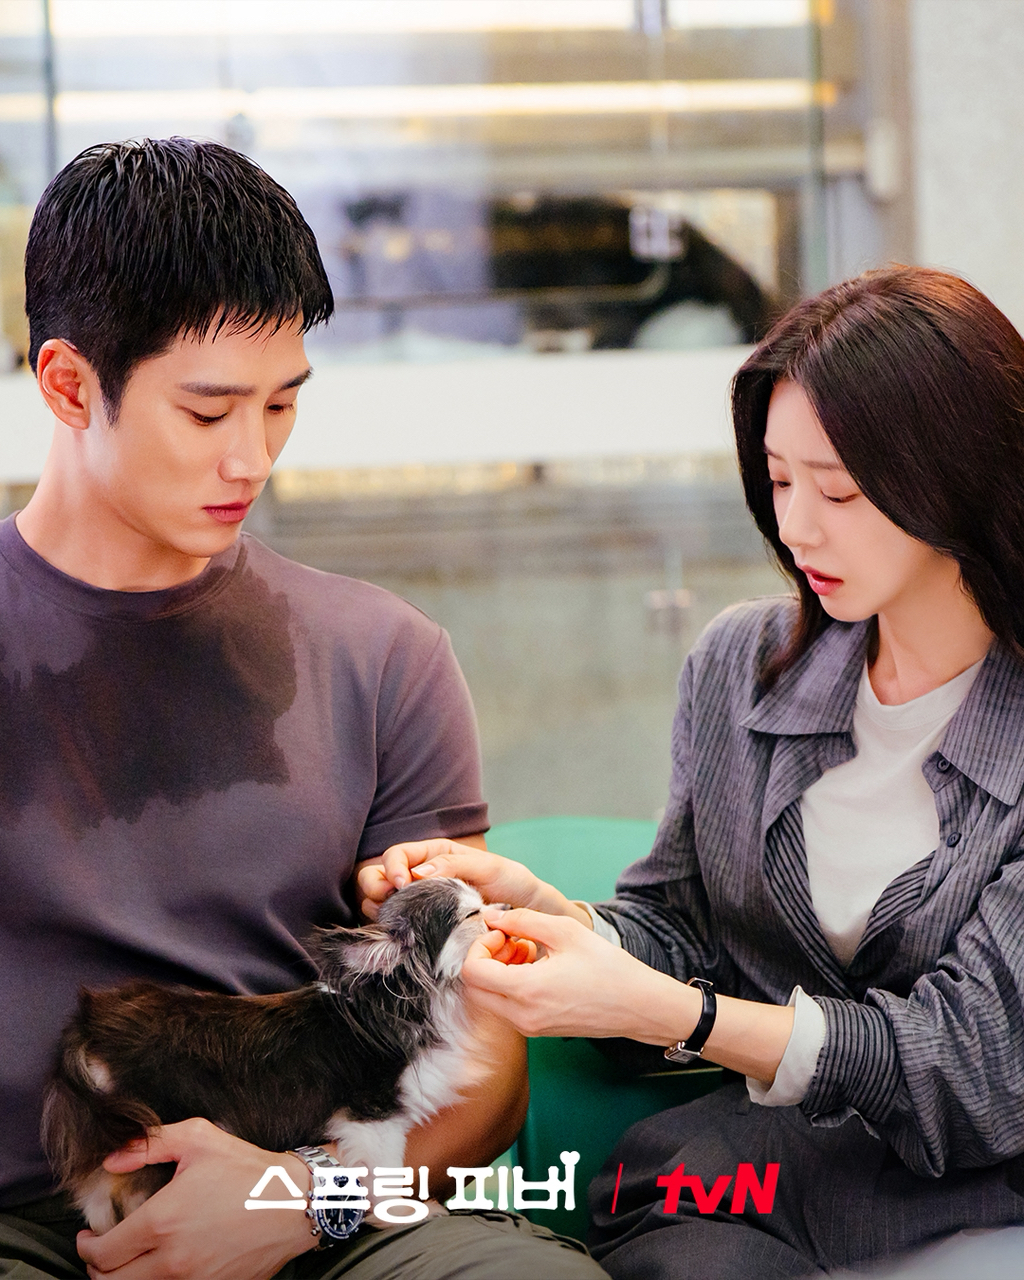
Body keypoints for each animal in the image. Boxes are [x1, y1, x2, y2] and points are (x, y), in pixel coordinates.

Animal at [41, 877, 489, 1233]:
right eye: (473, 915)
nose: (501, 908)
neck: (401, 1004)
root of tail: (91, 1024)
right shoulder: (372, 1117)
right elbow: (384, 1173)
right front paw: (403, 1212)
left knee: (95, 1197)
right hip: (156, 1129)